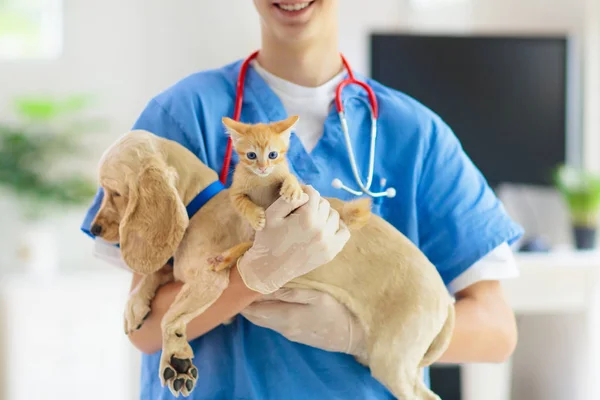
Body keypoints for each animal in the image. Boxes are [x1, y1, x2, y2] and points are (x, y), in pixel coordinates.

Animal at [90, 130, 454, 398]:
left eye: (114, 192)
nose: (93, 229)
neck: (202, 206)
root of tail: (445, 299)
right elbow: (159, 271)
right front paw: (135, 304)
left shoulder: (210, 280)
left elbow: (170, 318)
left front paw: (176, 357)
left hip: (392, 360)